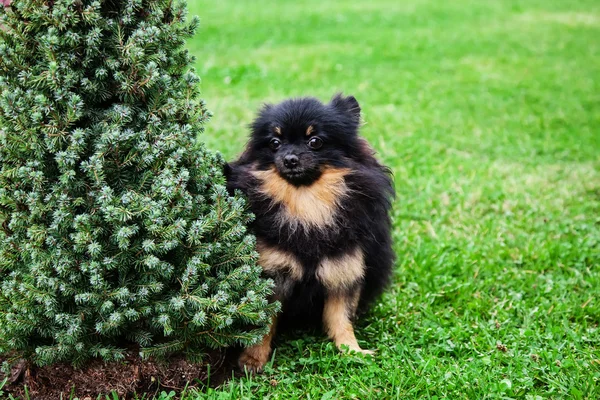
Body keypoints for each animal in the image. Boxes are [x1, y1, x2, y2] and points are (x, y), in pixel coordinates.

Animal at [225, 94, 394, 376]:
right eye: (275, 143)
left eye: (315, 141)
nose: (290, 158)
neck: (306, 203)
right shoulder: (272, 273)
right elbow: (264, 322)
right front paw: (253, 359)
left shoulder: (342, 269)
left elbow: (341, 317)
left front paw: (352, 350)